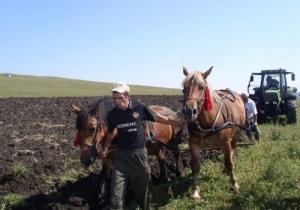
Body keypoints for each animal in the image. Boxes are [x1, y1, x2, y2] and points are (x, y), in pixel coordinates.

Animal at [180, 66, 246, 199]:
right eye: (184, 88)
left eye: (201, 87)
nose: (189, 112)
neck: (208, 122)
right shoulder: (193, 144)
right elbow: (195, 166)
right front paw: (195, 191)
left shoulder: (226, 142)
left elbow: (229, 162)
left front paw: (234, 184)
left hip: (236, 136)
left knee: (232, 152)